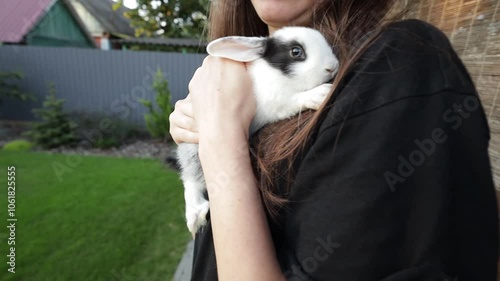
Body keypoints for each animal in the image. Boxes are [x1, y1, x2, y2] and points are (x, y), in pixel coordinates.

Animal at [177, 26, 340, 234]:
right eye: (296, 52)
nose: (332, 66)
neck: (278, 76)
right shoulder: (277, 103)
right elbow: (295, 99)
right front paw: (321, 94)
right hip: (194, 153)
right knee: (191, 181)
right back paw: (196, 215)